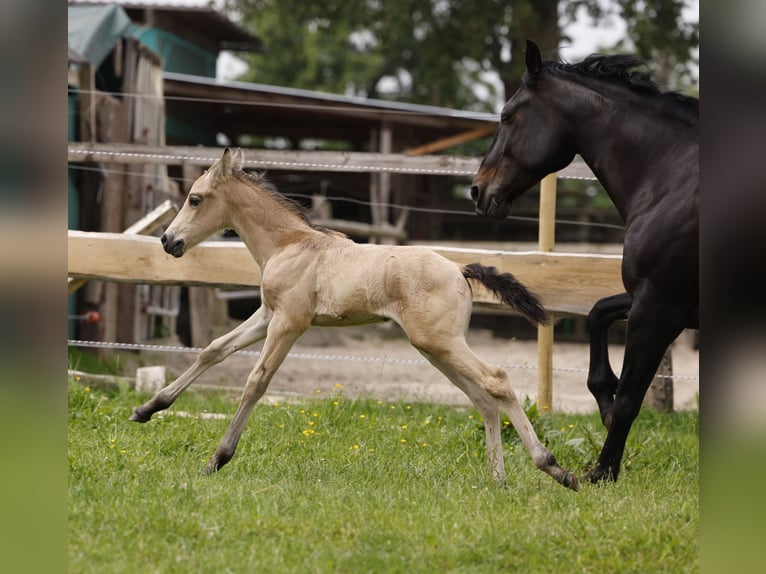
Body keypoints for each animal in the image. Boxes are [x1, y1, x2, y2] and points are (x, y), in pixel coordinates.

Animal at [472, 38, 700, 484]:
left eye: (507, 115)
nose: (477, 190)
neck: (673, 179)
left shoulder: (659, 307)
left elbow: (630, 397)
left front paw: (602, 472)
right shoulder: (653, 298)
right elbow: (596, 314)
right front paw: (604, 400)